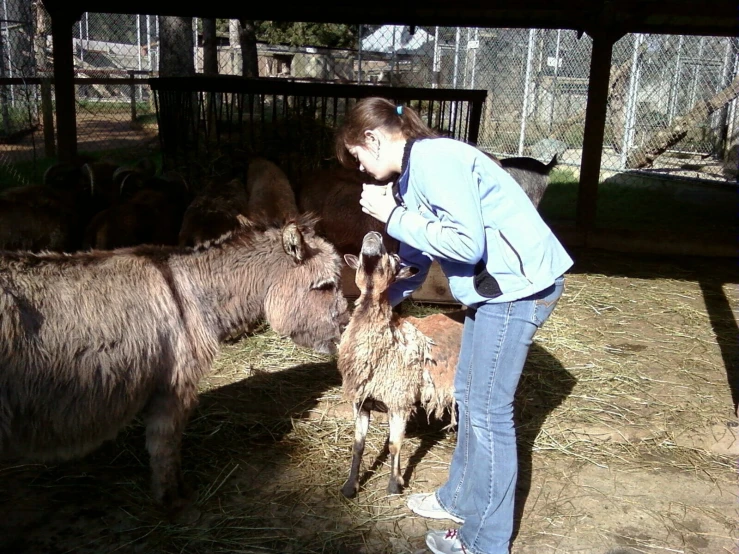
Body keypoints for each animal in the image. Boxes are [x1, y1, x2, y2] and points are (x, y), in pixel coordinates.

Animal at [340, 230, 462, 496]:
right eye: (361, 256)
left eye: (394, 259)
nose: (373, 234)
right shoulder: (361, 403)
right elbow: (358, 445)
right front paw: (350, 485)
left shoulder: (399, 401)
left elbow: (395, 445)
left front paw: (394, 485)